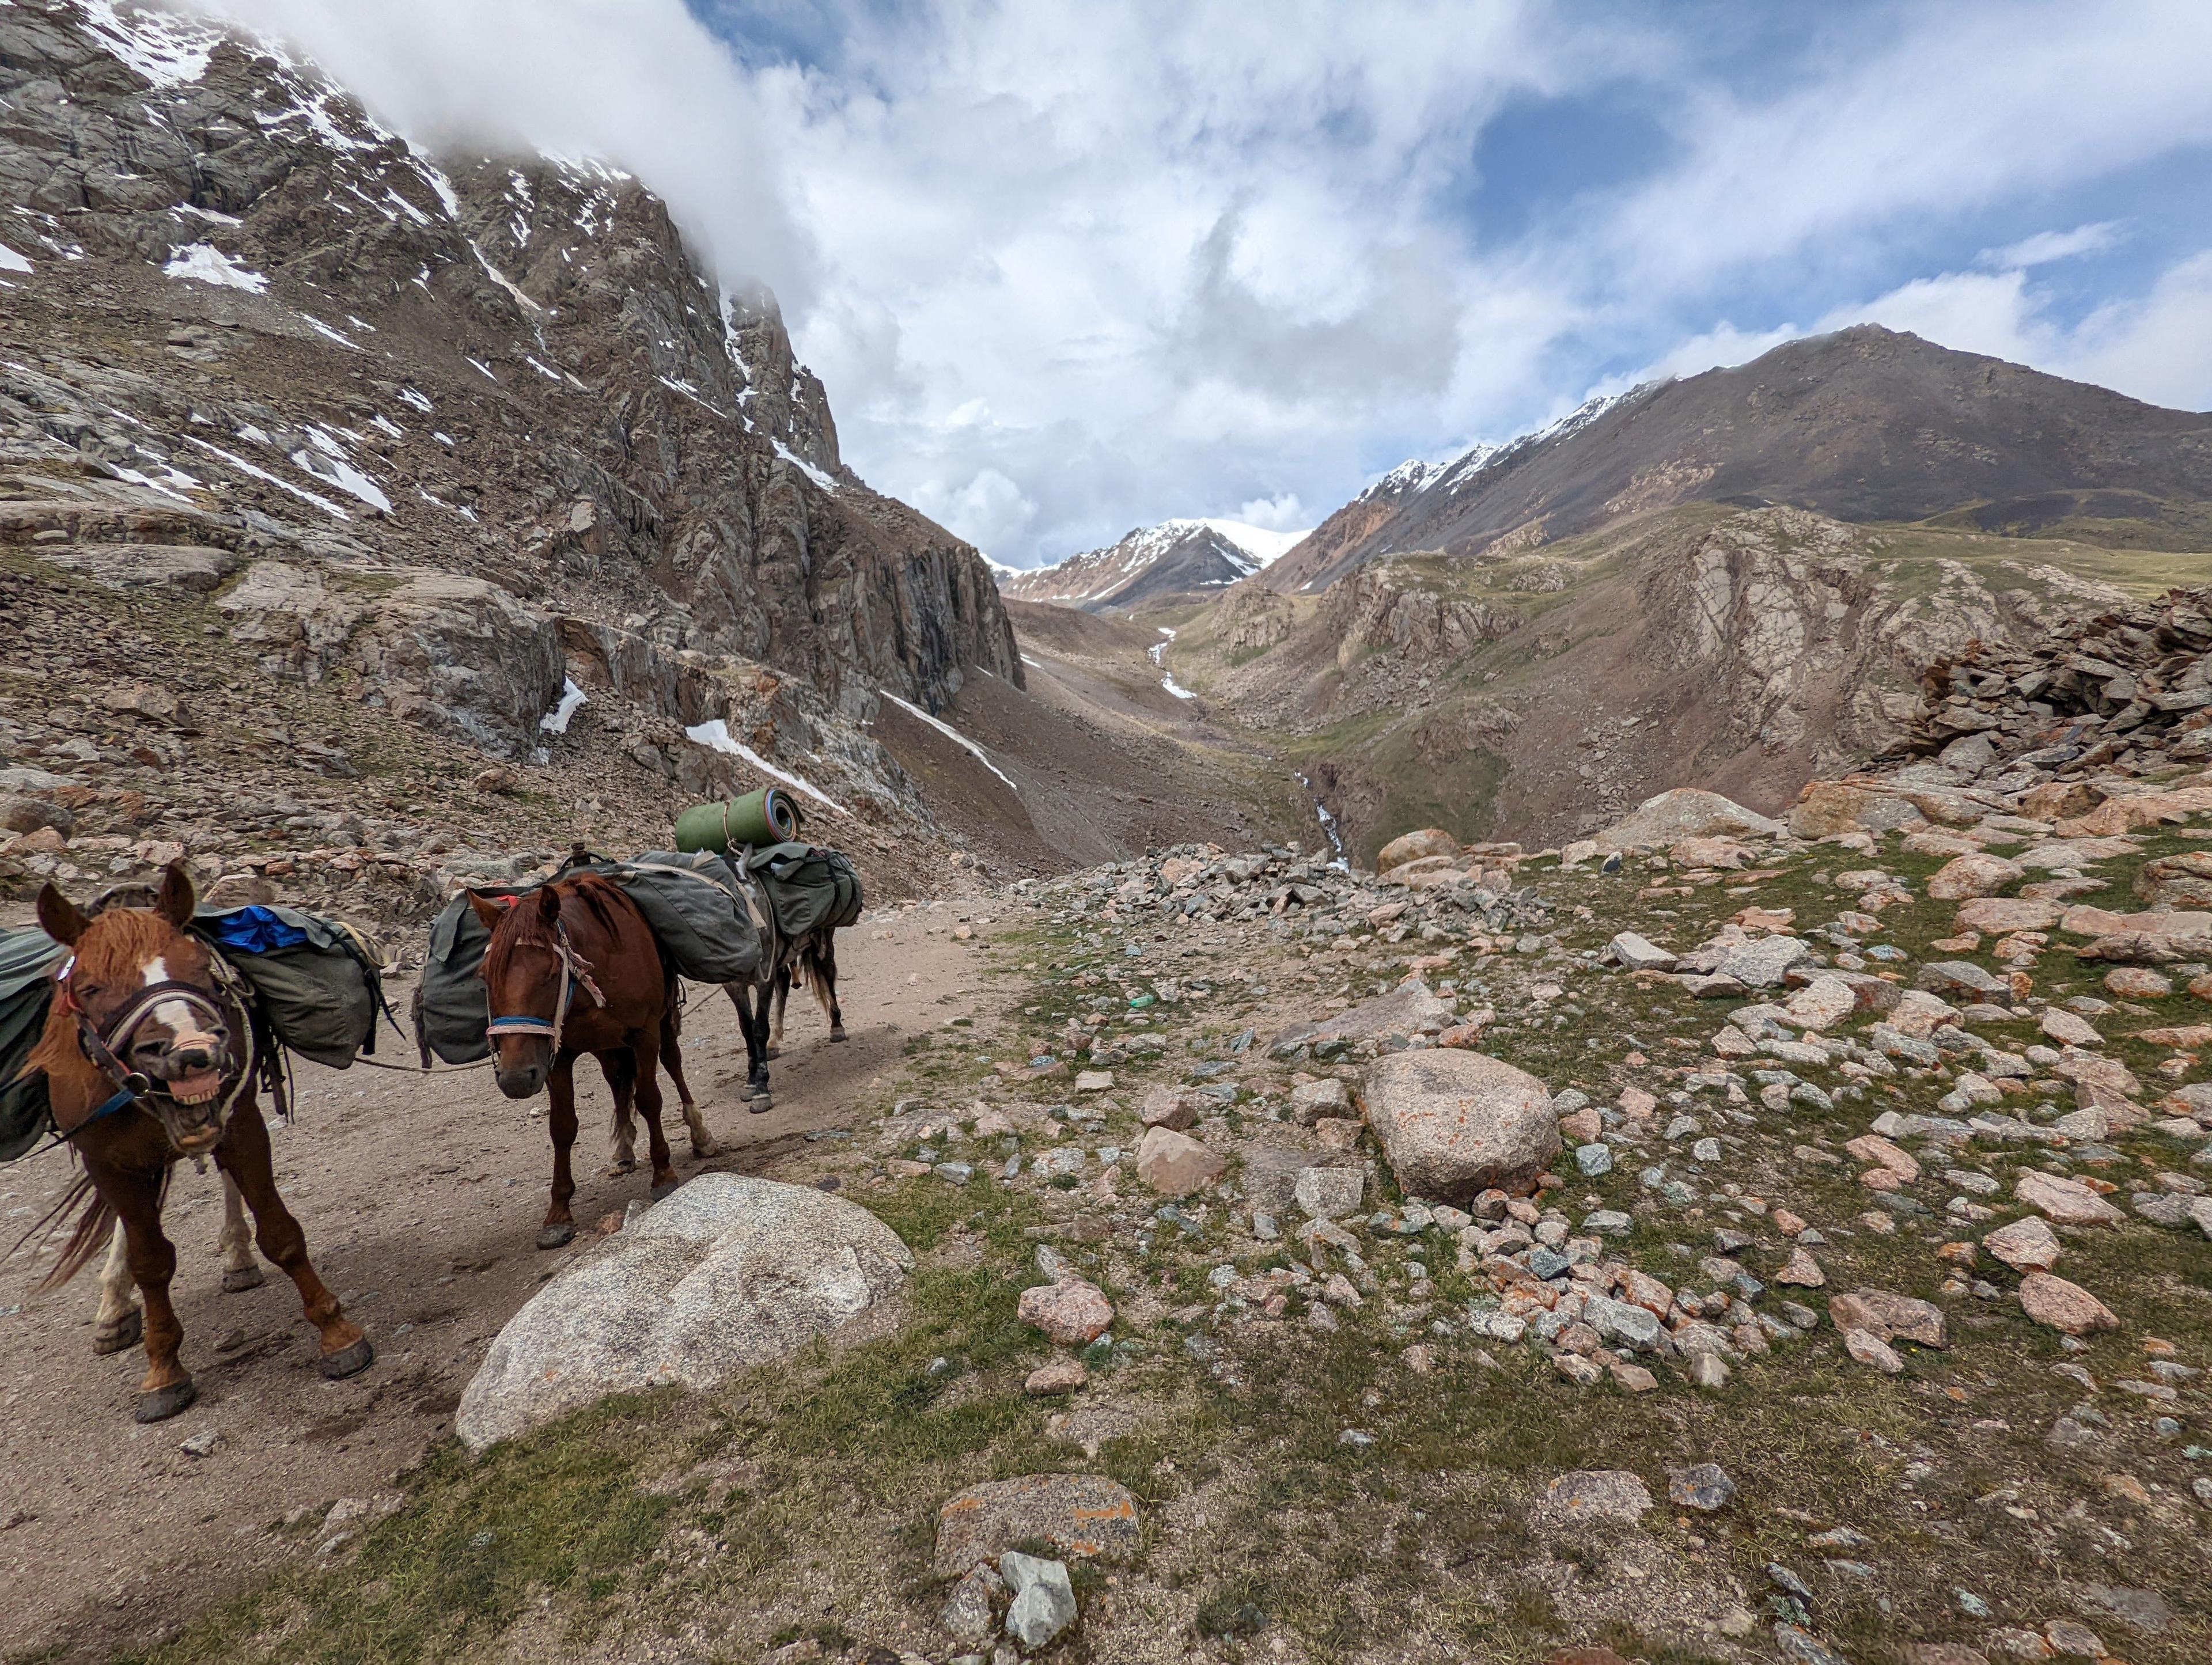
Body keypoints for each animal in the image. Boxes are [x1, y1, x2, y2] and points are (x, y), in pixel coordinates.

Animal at [26, 862, 372, 1424]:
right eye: (90, 985)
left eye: (203, 969)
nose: (194, 1054)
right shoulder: (107, 1160)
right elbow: (150, 1260)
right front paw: (163, 1371)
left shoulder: (239, 1122)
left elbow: (281, 1232)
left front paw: (338, 1336)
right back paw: (114, 1312)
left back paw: (237, 1259)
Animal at [471, 875, 703, 1238]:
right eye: (484, 976)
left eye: (552, 972)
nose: (516, 1078)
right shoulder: (556, 1055)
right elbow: (562, 1127)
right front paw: (558, 1214)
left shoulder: (645, 1034)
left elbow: (650, 1100)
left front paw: (664, 1175)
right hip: (605, 1046)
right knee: (617, 1079)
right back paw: (623, 1150)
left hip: (662, 1025)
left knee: (672, 1063)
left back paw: (699, 1134)